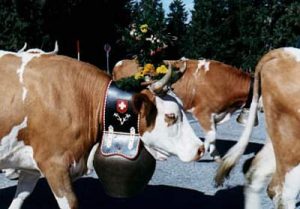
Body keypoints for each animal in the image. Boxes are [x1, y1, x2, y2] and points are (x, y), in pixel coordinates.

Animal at [112, 58, 253, 161]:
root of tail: (123, 61)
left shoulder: (215, 115)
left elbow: (213, 135)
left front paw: (215, 155)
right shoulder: (203, 113)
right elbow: (212, 135)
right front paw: (206, 152)